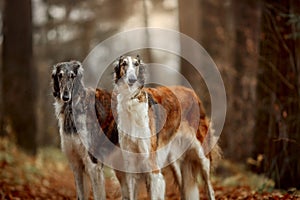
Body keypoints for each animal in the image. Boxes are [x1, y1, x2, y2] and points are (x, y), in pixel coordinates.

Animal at [113, 55, 220, 200]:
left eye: (136, 64)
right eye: (124, 64)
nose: (132, 80)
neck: (131, 101)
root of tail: (192, 92)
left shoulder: (152, 166)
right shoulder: (131, 166)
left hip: (202, 155)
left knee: (210, 189)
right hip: (175, 162)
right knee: (184, 190)